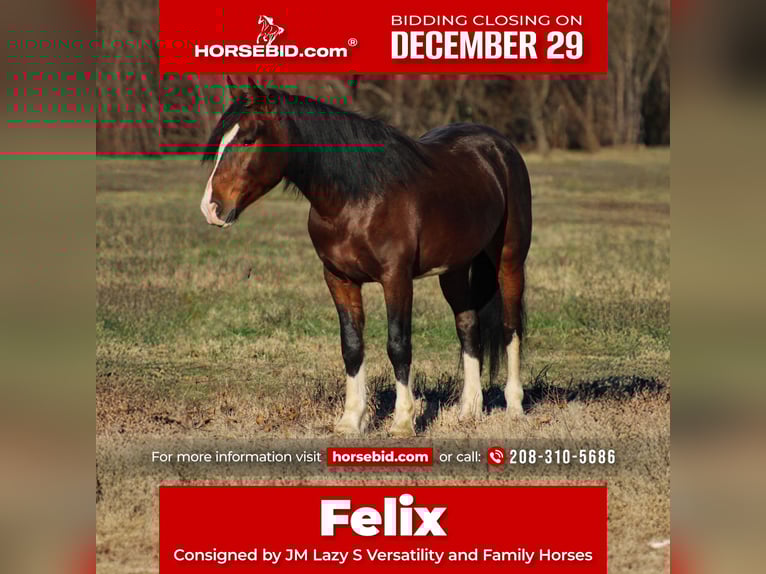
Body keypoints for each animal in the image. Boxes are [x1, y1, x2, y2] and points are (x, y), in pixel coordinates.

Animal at [200, 77, 532, 437]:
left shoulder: (396, 278)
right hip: (454, 268)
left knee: (511, 326)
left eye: (248, 137)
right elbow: (352, 345)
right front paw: (351, 420)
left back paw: (514, 407)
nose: (211, 208)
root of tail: (498, 146)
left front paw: (403, 421)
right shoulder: (339, 279)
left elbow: (398, 345)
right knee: (468, 325)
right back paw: (469, 410)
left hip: (509, 260)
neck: (357, 200)